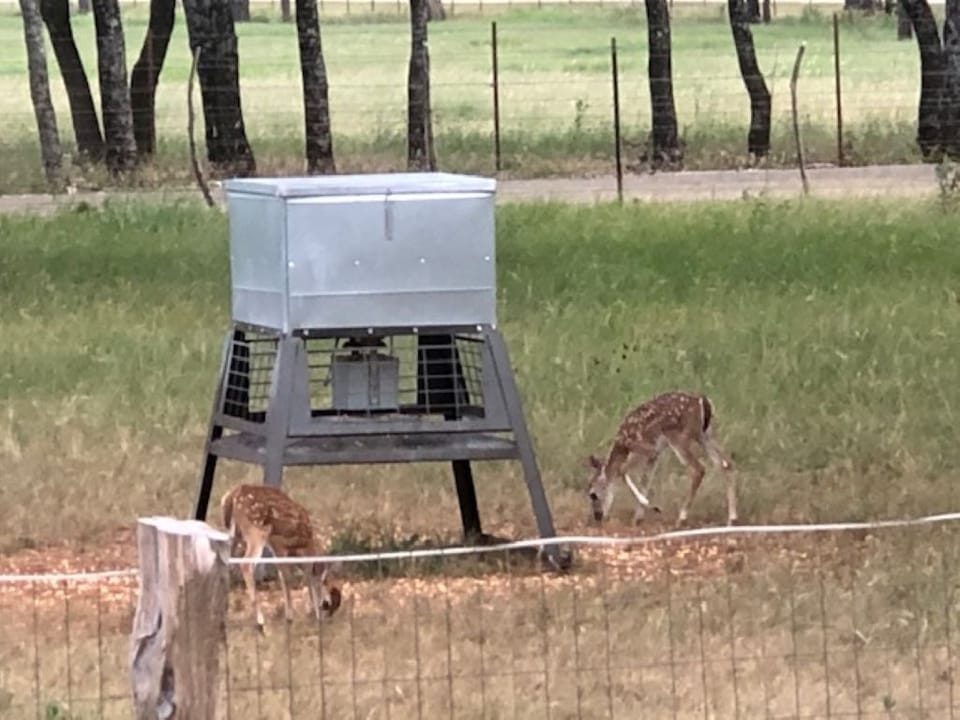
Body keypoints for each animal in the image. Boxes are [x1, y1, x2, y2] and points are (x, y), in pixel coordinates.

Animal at [220, 484, 342, 631]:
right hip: (257, 530)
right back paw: (260, 621)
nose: (325, 608)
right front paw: (292, 616)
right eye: (326, 582)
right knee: (246, 564)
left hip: (234, 532)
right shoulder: (279, 544)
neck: (304, 544)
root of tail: (233, 495)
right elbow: (287, 576)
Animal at [584, 391, 738, 528]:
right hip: (705, 434)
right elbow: (645, 481)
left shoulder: (645, 449)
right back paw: (732, 519)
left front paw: (652, 507)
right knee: (725, 463)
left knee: (698, 469)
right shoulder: (654, 455)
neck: (622, 445)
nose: (597, 517)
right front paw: (638, 518)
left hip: (678, 436)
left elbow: (622, 471)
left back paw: (681, 519)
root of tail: (702, 401)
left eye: (593, 495)